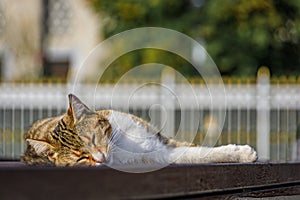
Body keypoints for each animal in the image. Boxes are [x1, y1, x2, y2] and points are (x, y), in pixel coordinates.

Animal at [21, 94, 258, 167]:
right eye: (80, 157)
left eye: (93, 138)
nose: (100, 158)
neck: (120, 145)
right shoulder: (159, 156)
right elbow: (196, 155)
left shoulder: (162, 141)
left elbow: (198, 150)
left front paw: (240, 153)